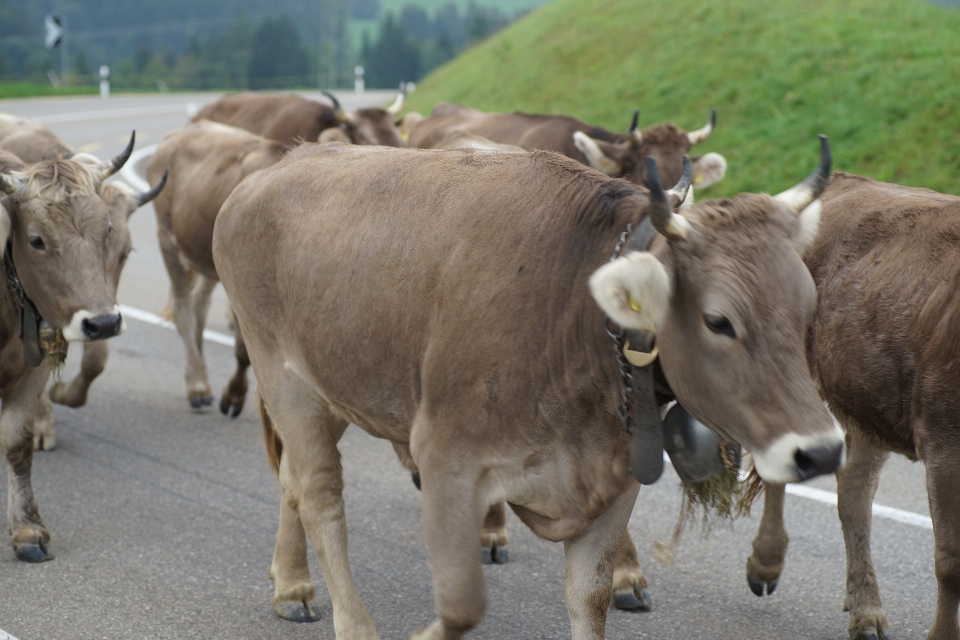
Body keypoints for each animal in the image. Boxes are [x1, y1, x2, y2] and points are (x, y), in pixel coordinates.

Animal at [146, 119, 292, 416]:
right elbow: (244, 351)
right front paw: (234, 395)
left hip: (207, 260)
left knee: (198, 308)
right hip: (167, 240)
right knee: (182, 309)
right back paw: (198, 386)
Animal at [214, 134, 844, 636]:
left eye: (808, 307)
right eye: (719, 321)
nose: (821, 451)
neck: (571, 302)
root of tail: (277, 167)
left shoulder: (613, 480)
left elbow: (589, 600)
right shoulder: (445, 457)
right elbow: (462, 604)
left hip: (337, 386)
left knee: (293, 479)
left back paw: (291, 584)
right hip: (285, 379)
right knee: (319, 492)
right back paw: (349, 620)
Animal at [748, 170, 960, 640]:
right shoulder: (944, 442)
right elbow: (951, 560)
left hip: (869, 399)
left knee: (854, 491)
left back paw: (865, 609)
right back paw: (766, 563)